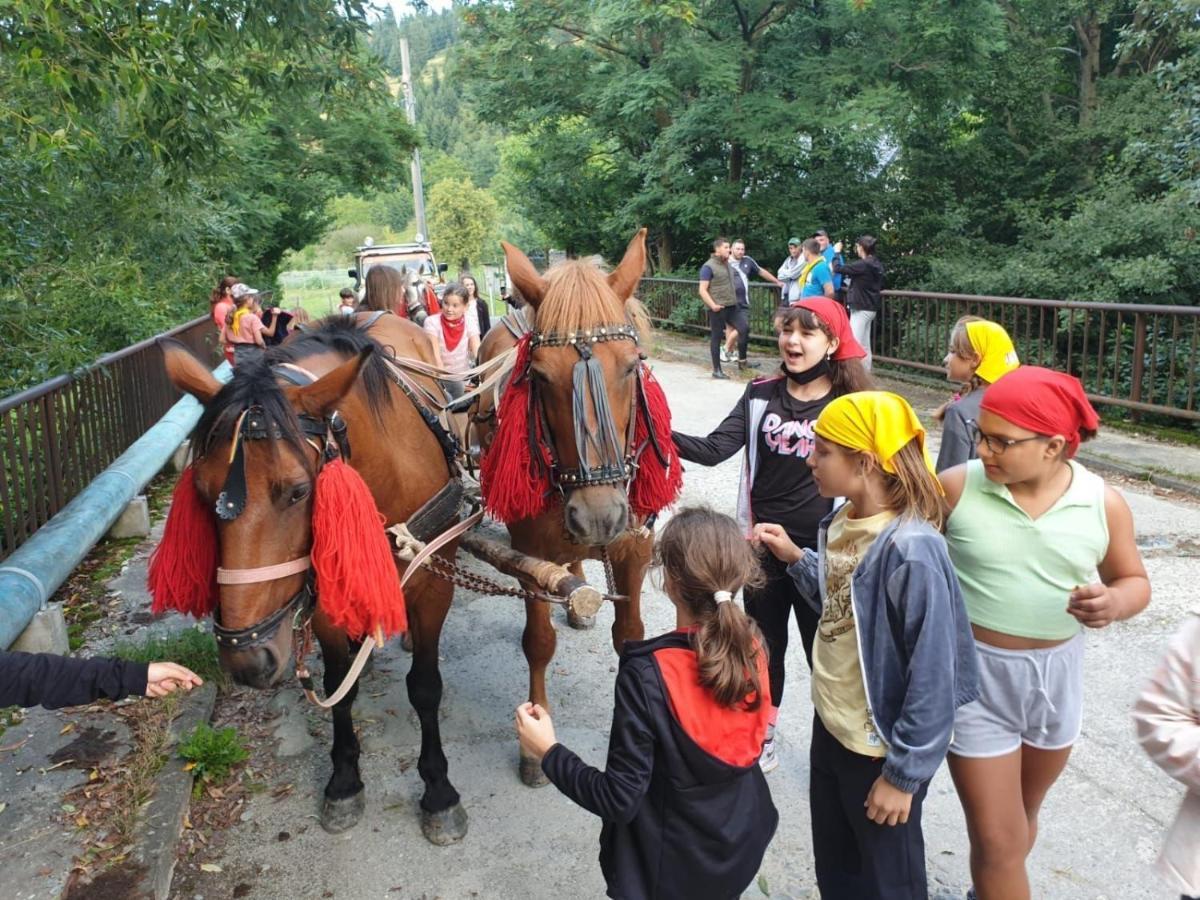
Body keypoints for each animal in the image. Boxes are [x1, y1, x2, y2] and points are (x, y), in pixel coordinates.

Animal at [162, 316, 470, 844]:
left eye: (299, 491)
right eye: (200, 492)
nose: (247, 660)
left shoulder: (435, 586)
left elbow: (426, 687)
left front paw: (439, 791)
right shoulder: (324, 598)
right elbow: (337, 684)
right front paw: (344, 781)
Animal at [472, 229, 657, 787]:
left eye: (631, 365)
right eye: (539, 377)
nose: (597, 515)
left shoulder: (633, 547)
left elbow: (630, 636)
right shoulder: (530, 555)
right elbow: (538, 642)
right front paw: (534, 744)